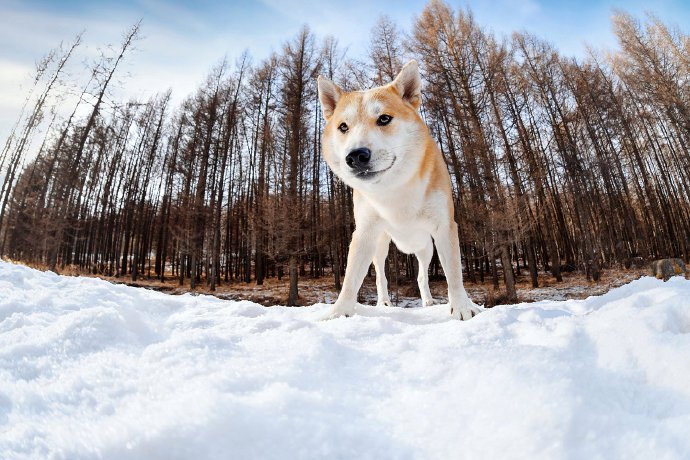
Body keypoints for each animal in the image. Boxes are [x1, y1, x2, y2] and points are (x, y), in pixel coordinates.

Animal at [316, 60, 478, 320]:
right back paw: (384, 303)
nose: (356, 156)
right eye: (343, 127)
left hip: (426, 248)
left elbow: (454, 274)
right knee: (381, 276)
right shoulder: (364, 233)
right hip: (380, 245)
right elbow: (350, 280)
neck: (393, 191)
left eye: (384, 119)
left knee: (422, 275)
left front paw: (462, 308)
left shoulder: (445, 226)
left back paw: (428, 302)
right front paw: (338, 313)